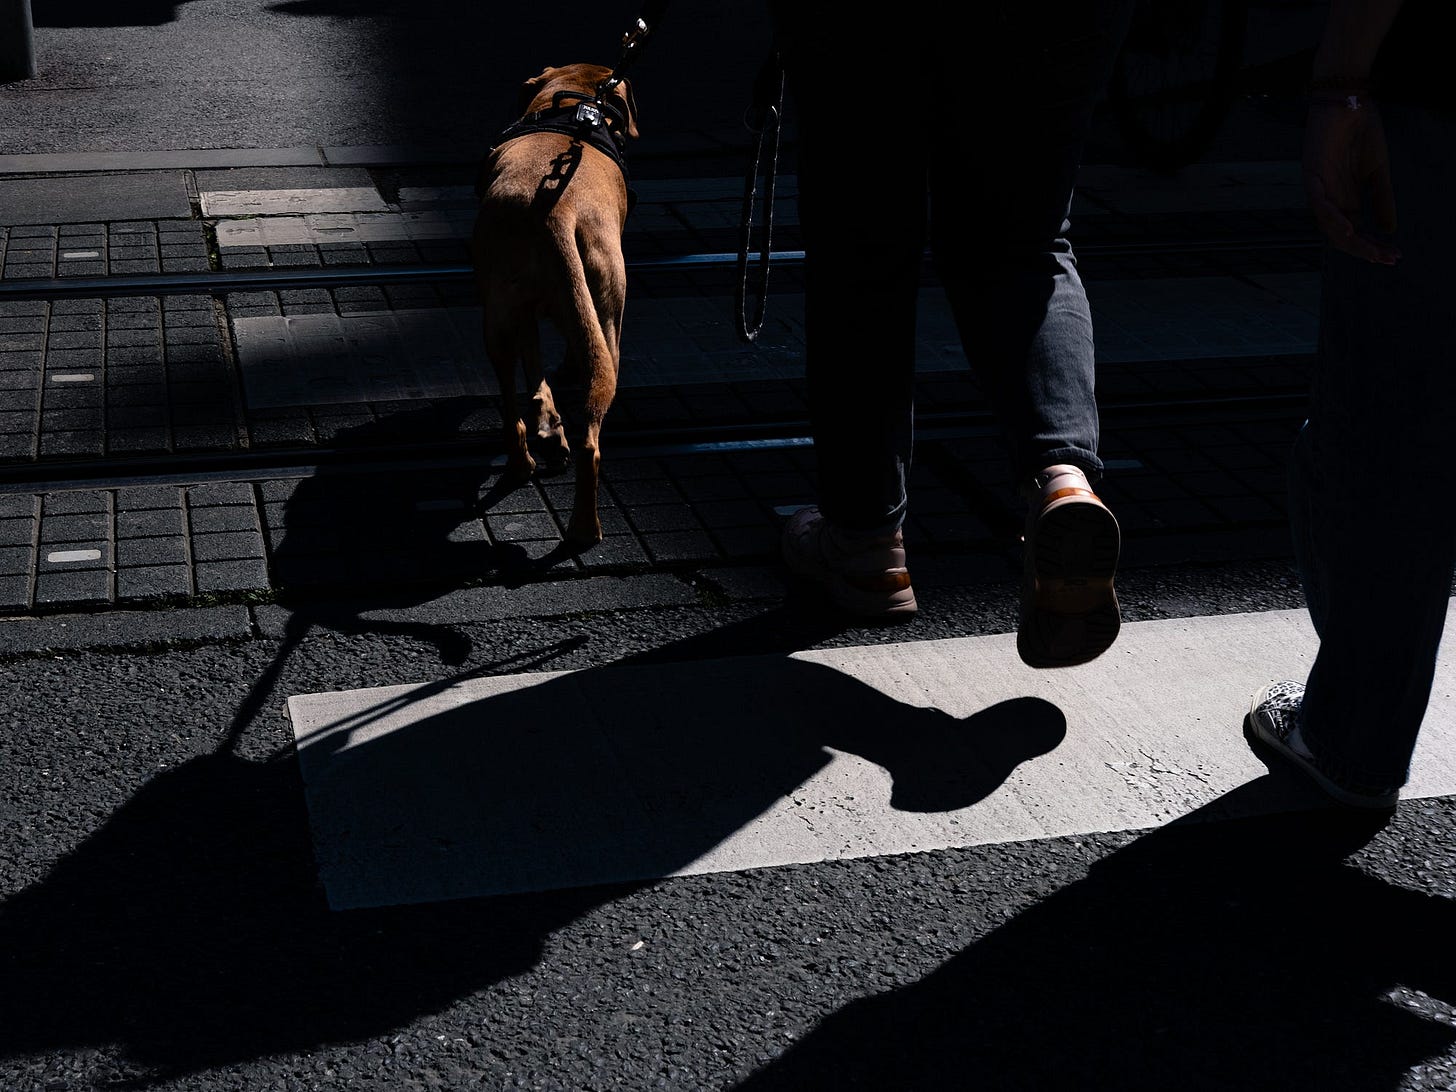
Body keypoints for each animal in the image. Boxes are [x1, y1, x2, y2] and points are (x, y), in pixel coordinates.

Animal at [471, 62, 637, 544]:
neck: (575, 104)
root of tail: (555, 213)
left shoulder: (525, 313)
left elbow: (536, 374)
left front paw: (547, 420)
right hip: (608, 322)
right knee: (588, 438)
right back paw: (582, 523)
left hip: (499, 316)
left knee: (514, 405)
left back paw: (535, 455)